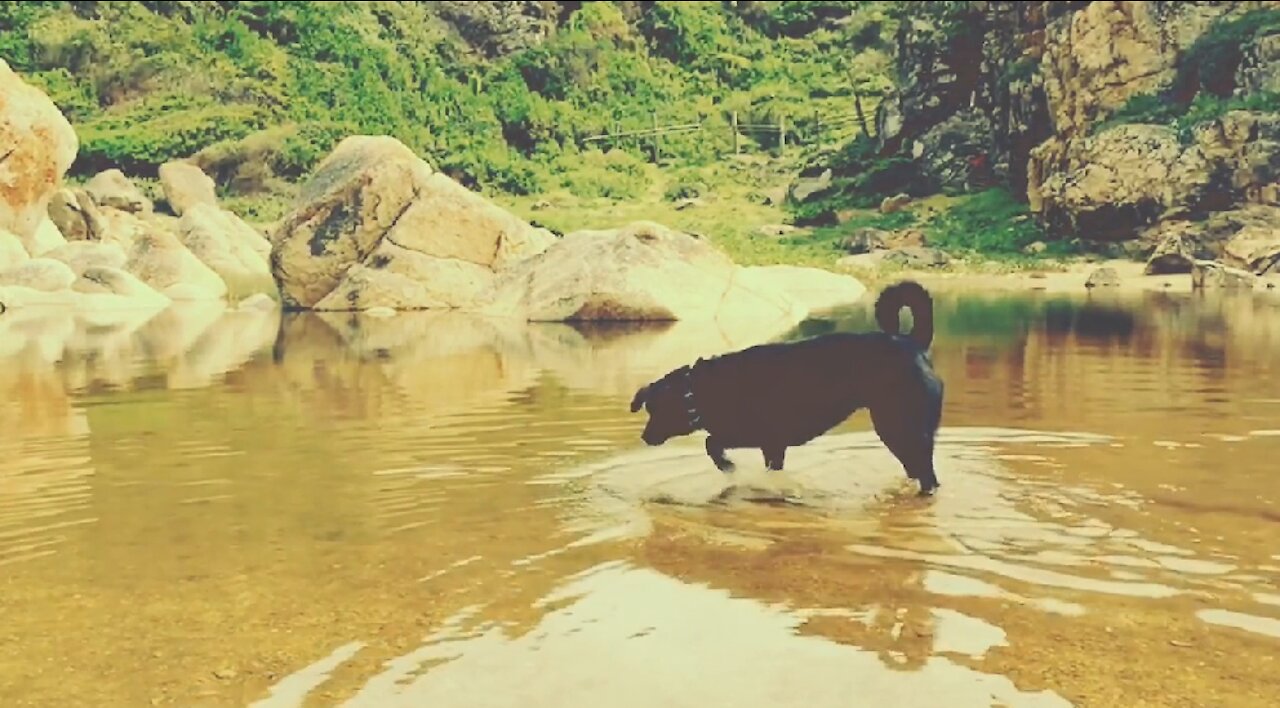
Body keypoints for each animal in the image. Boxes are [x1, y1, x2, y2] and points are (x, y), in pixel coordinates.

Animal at [627, 279, 942, 494]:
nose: (645, 436)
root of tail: (912, 344)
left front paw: (730, 467)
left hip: (900, 427)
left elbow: (711, 442)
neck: (701, 388)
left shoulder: (753, 434)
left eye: (655, 409)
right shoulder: (773, 446)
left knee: (927, 474)